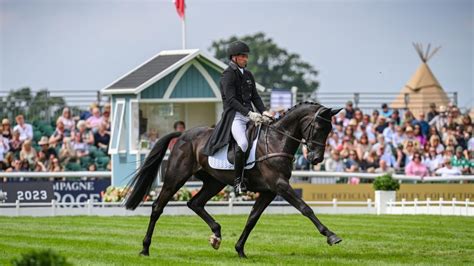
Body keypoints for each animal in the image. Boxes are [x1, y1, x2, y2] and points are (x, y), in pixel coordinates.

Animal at [124, 102, 342, 258]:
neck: (275, 140)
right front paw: (332, 236)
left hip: (215, 182)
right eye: (318, 128)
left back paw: (216, 235)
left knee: (195, 203)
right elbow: (306, 208)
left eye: (330, 130)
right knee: (157, 207)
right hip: (175, 178)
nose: (316, 159)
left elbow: (252, 218)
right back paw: (145, 248)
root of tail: (184, 134)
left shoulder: (269, 191)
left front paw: (240, 249)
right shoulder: (280, 186)